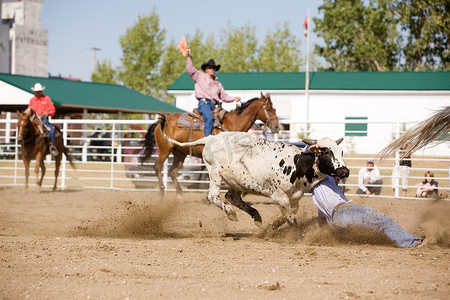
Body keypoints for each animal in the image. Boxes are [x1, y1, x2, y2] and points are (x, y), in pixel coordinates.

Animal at [142, 92, 280, 196]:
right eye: (268, 109)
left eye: (274, 108)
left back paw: (180, 195)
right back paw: (161, 192)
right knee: (158, 167)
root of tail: (161, 121)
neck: (231, 124)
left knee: (173, 172)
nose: (277, 127)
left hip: (179, 153)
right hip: (164, 149)